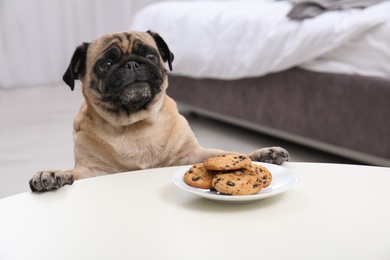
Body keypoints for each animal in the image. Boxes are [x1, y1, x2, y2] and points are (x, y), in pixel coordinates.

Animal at [28, 31, 290, 192]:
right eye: (106, 65)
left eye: (151, 56)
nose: (133, 64)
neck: (135, 124)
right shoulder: (93, 172)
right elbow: (72, 172)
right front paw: (52, 174)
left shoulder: (192, 156)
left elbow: (230, 154)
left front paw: (262, 153)